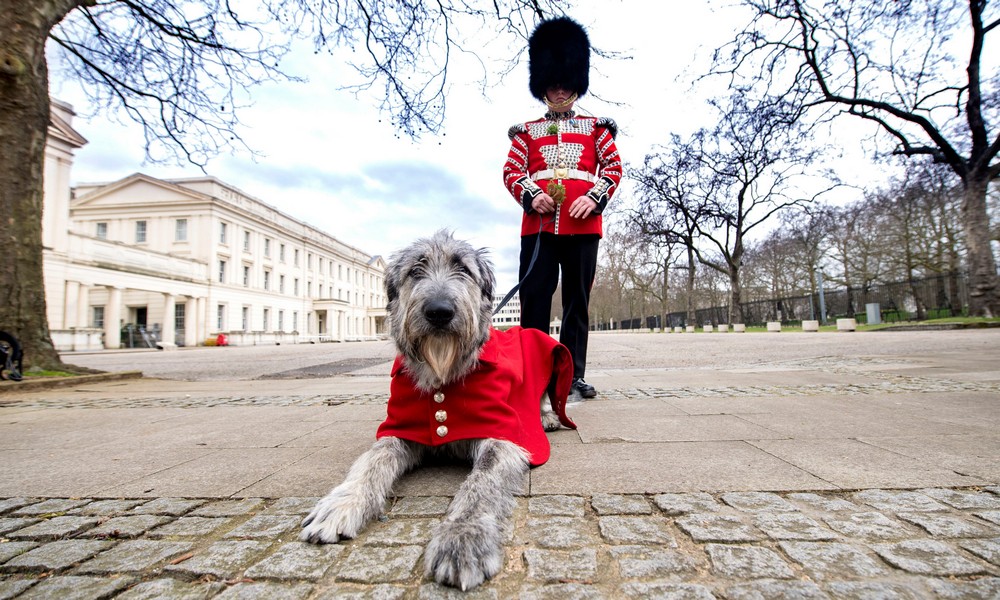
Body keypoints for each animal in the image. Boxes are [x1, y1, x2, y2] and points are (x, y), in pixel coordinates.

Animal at [300, 231, 576, 592]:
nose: (439, 312)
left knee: (543, 397)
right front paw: (343, 502)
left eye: (463, 269)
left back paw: (546, 416)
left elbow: (481, 483)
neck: (442, 374)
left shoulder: (503, 435)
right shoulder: (399, 429)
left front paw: (463, 536)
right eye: (416, 270)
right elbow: (372, 461)